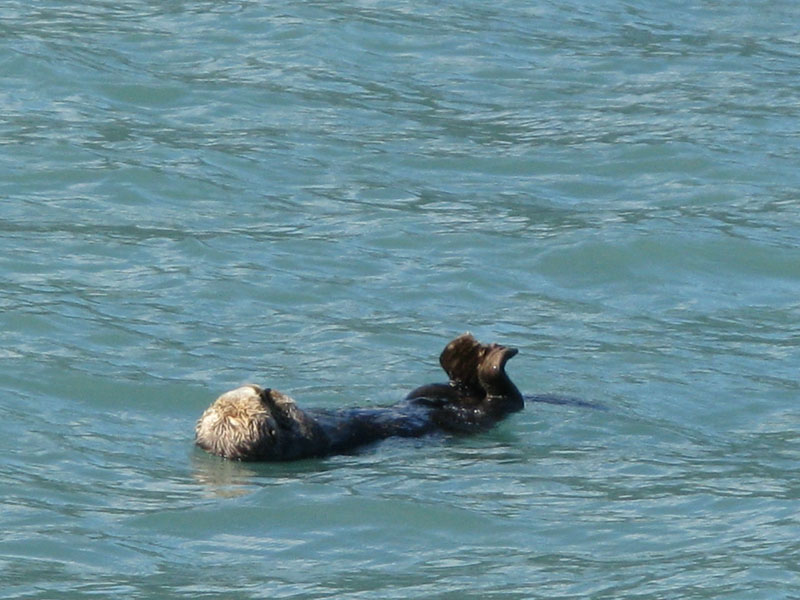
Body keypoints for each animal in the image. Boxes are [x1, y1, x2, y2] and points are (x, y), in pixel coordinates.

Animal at [195, 333, 524, 461]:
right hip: (479, 414)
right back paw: (489, 357)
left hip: (427, 390)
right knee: (504, 397)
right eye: (261, 402)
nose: (262, 389)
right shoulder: (302, 437)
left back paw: (461, 353)